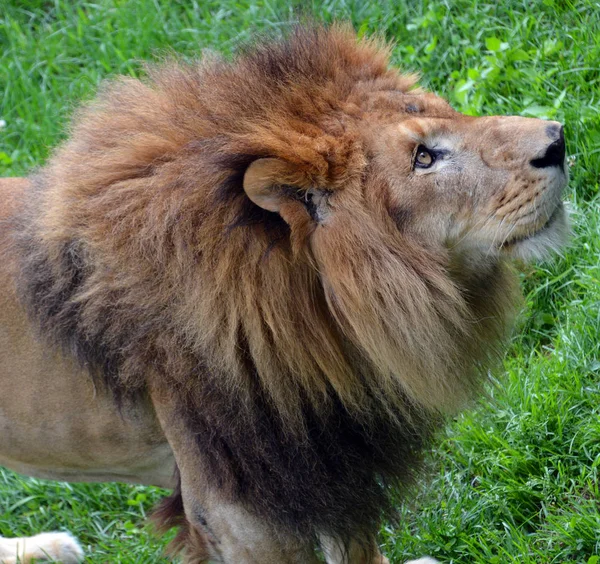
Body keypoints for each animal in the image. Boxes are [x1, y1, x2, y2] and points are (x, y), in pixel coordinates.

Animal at [0, 23, 568, 564]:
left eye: (446, 111)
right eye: (423, 158)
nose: (557, 139)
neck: (331, 327)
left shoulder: (338, 462)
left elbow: (358, 550)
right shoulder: (241, 512)